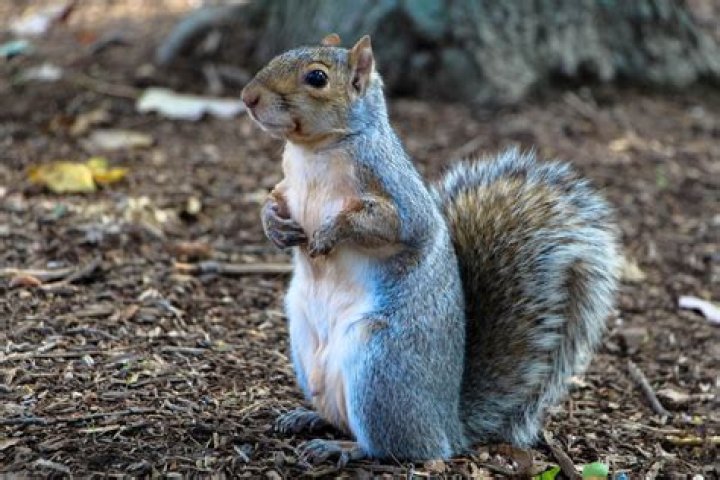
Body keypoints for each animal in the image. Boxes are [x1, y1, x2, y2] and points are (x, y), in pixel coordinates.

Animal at [241, 33, 620, 465]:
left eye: (317, 78)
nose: (248, 97)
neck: (314, 151)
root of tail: (448, 427)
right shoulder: (287, 184)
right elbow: (273, 199)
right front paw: (274, 225)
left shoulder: (396, 193)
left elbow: (392, 225)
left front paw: (329, 233)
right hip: (305, 347)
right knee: (342, 417)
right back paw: (308, 418)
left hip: (381, 368)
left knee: (397, 447)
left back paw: (343, 447)